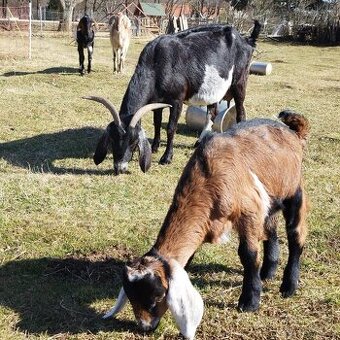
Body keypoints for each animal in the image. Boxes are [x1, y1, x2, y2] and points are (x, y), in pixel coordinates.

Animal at [84, 20, 260, 175]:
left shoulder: (176, 101)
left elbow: (170, 127)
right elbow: (156, 123)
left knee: (240, 111)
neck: (156, 63)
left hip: (240, 81)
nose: (119, 168)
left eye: (133, 141)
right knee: (212, 111)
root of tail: (246, 40)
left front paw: (166, 158)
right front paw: (155, 147)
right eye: (113, 139)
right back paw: (200, 140)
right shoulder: (156, 101)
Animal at [102, 110, 310, 338]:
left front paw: (250, 301)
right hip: (271, 198)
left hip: (294, 192)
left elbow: (248, 254)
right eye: (131, 298)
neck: (209, 176)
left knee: (296, 235)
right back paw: (267, 272)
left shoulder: (249, 210)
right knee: (270, 229)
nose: (145, 327)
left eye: (158, 296)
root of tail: (292, 129)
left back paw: (288, 286)